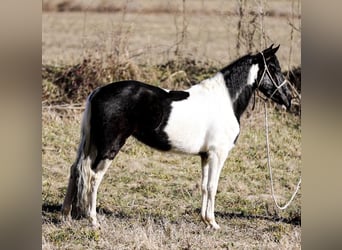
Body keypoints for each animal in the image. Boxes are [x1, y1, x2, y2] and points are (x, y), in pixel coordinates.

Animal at [60, 44, 292, 229]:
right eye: (274, 69)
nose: (288, 99)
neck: (225, 101)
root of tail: (97, 92)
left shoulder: (206, 156)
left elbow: (204, 186)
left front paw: (206, 221)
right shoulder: (218, 154)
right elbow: (213, 186)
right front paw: (214, 223)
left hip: (91, 145)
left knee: (75, 171)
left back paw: (66, 216)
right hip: (109, 147)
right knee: (93, 176)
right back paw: (93, 220)